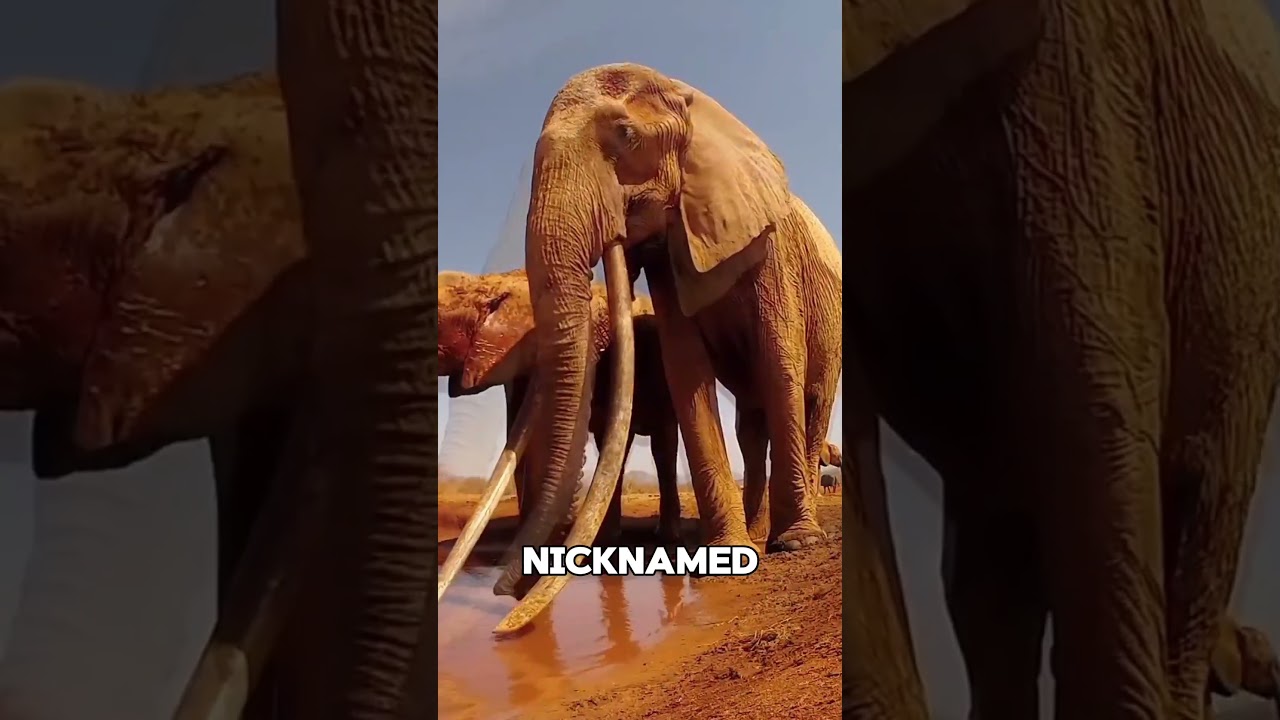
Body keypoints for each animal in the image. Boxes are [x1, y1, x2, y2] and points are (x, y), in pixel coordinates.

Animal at [490, 62, 843, 635]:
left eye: (626, 136)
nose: (506, 610)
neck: (696, 104)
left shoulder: (772, 250)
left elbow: (781, 361)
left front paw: (797, 546)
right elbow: (687, 373)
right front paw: (729, 556)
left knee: (811, 402)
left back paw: (794, 529)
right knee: (750, 427)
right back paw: (758, 528)